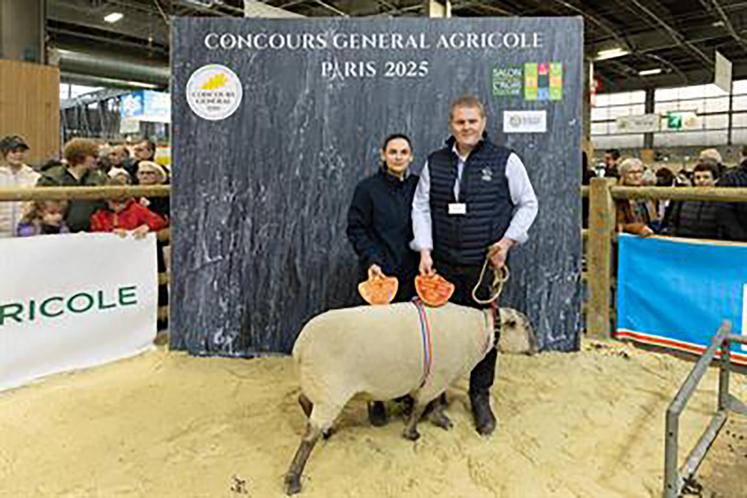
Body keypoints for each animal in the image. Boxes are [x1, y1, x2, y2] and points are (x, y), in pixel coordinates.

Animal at [286, 300, 496, 494]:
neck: (479, 330)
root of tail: (300, 347)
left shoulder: (435, 377)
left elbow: (431, 401)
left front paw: (436, 417)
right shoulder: (437, 376)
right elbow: (421, 405)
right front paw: (413, 432)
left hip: (317, 385)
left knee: (303, 400)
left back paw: (327, 431)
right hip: (331, 391)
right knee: (309, 436)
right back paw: (293, 480)